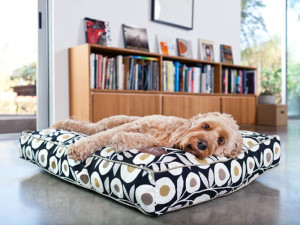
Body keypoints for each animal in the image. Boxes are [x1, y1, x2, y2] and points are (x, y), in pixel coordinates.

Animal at [51, 112, 243, 162]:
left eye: (220, 140)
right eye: (206, 126)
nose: (203, 144)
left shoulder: (151, 140)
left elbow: (133, 139)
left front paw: (120, 140)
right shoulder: (134, 125)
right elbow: (101, 137)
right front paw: (78, 148)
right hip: (115, 120)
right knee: (93, 129)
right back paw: (64, 124)